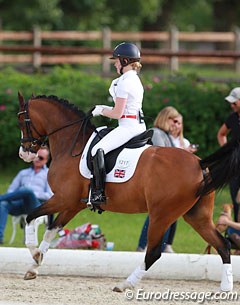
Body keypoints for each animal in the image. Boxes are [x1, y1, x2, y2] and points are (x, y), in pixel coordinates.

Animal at [16, 92, 240, 290]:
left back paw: (124, 285)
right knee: (223, 244)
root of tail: (199, 163)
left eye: (21, 121)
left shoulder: (63, 198)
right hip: (196, 216)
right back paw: (226, 287)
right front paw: (35, 265)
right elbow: (51, 230)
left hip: (161, 215)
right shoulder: (73, 204)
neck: (73, 143)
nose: (24, 153)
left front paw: (33, 252)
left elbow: (30, 217)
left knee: (153, 253)